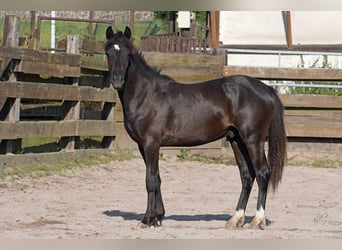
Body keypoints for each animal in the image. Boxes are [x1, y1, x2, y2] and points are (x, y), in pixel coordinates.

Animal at [104, 26, 286, 229]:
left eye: (128, 53)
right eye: (108, 52)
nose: (117, 80)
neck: (147, 95)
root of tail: (267, 90)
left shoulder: (151, 143)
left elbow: (150, 180)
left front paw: (147, 220)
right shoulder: (143, 146)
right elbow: (157, 178)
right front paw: (158, 217)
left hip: (253, 140)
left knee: (263, 173)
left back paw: (257, 220)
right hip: (237, 140)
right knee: (247, 176)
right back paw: (235, 219)